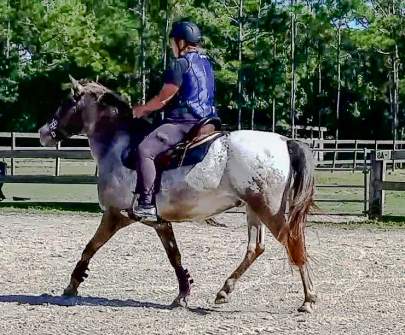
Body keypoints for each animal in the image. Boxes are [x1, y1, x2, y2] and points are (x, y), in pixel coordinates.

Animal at [38, 77, 316, 314]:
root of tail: (285, 141)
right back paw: (224, 291)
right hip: (253, 209)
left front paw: (72, 285)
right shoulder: (159, 222)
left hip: (268, 210)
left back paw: (308, 300)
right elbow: (175, 256)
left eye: (66, 103)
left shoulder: (115, 215)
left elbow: (90, 248)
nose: (42, 133)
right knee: (255, 248)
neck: (118, 146)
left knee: (294, 243)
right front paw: (183, 294)